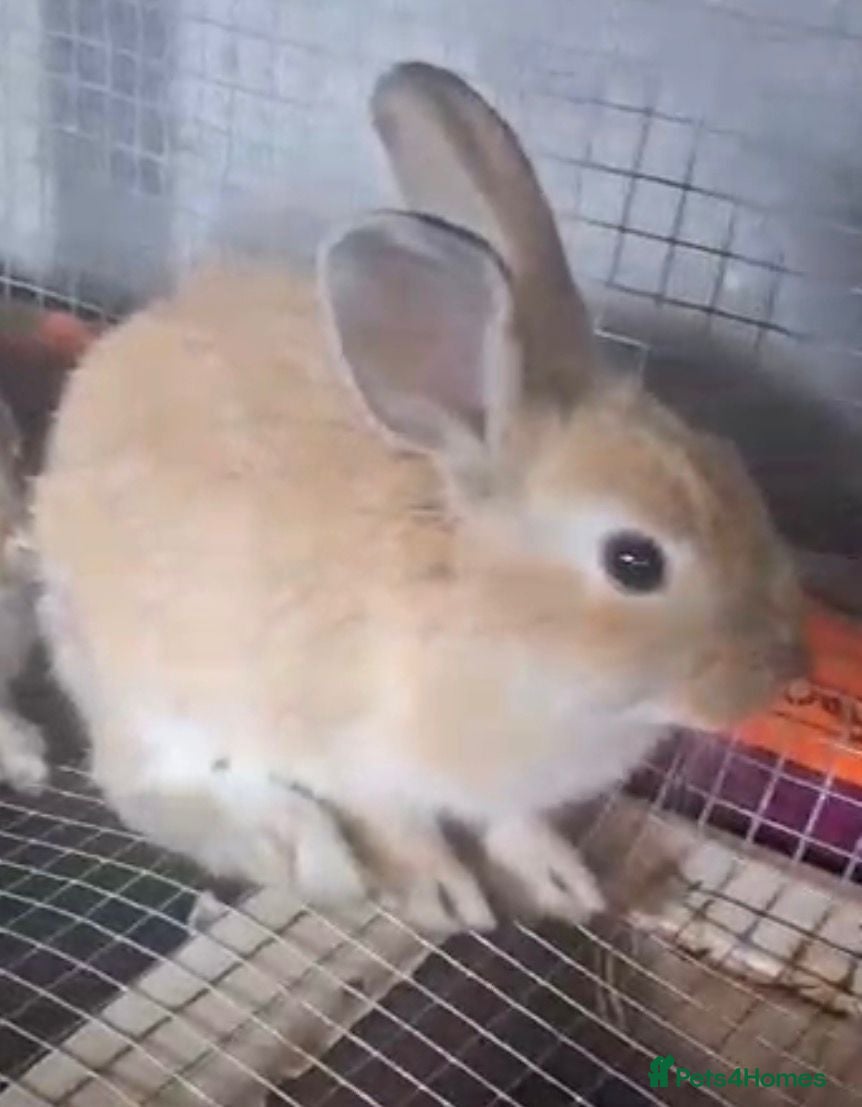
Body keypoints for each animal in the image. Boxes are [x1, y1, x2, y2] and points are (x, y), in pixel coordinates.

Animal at [30, 61, 806, 933]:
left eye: (732, 463)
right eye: (634, 561)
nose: (787, 665)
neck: (490, 612)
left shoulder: (504, 789)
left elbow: (513, 823)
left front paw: (560, 879)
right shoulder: (358, 759)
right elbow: (402, 828)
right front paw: (447, 896)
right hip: (162, 694)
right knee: (150, 785)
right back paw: (300, 849)